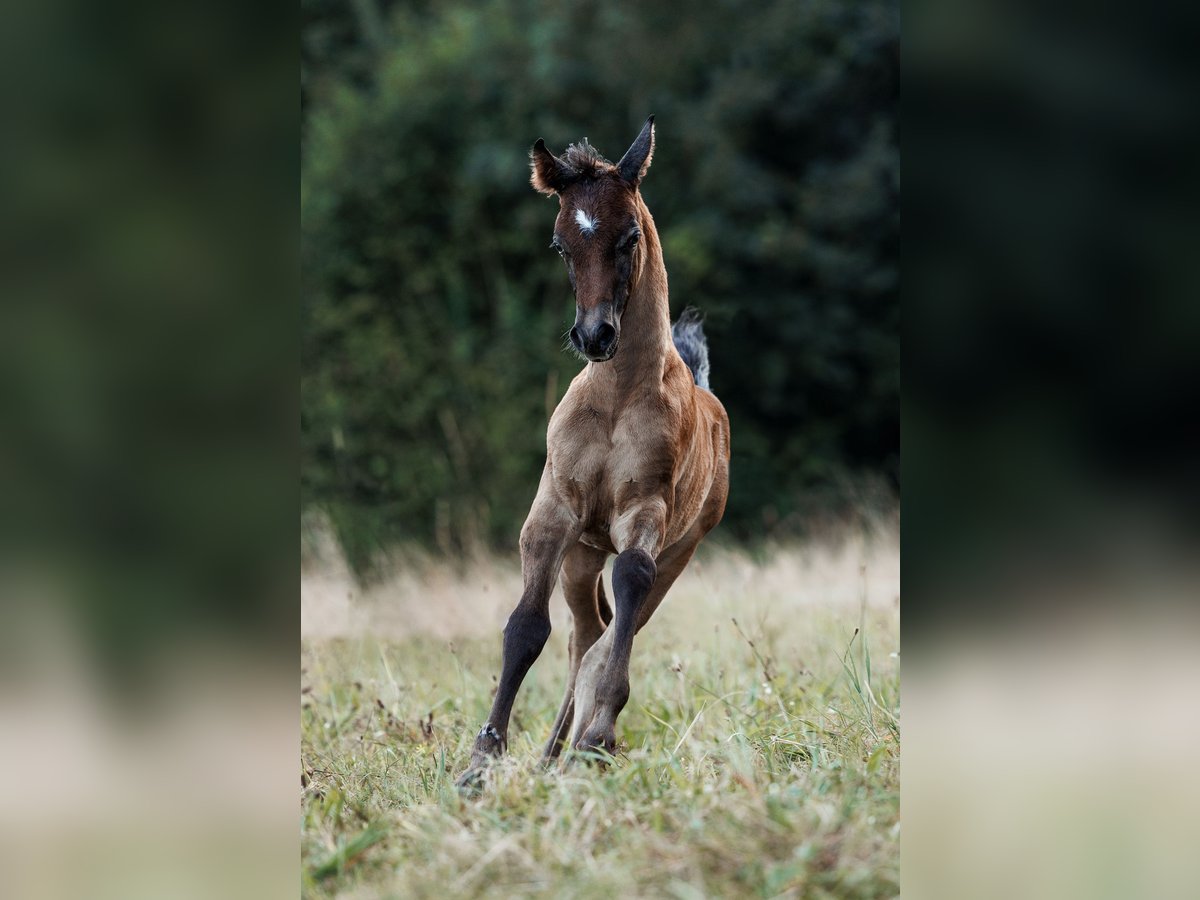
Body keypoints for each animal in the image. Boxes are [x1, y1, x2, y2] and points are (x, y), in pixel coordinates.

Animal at [453, 116, 724, 787]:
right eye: (559, 245)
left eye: (630, 236)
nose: (595, 335)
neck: (618, 395)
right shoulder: (553, 511)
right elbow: (527, 628)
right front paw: (480, 763)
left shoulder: (645, 512)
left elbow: (629, 586)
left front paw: (599, 736)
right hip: (582, 551)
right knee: (585, 631)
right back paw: (553, 754)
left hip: (681, 548)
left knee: (611, 628)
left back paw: (578, 745)